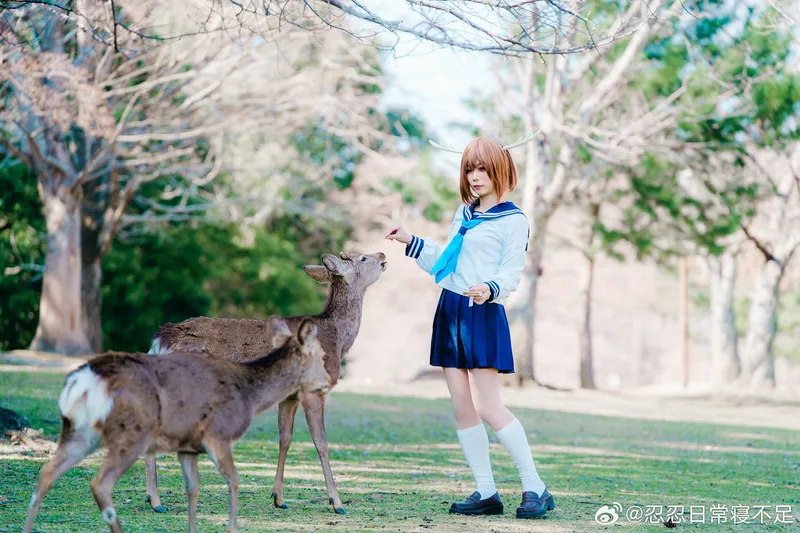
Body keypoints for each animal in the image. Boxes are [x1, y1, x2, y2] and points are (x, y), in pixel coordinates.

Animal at [23, 318, 329, 533]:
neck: (250, 393)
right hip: (129, 435)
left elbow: (193, 489)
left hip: (81, 432)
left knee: (47, 472)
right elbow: (233, 480)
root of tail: (81, 382)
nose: (328, 382)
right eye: (320, 355)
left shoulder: (189, 447)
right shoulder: (218, 437)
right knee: (100, 483)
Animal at [144, 251, 386, 515]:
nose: (382, 254)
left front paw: (278, 497)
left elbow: (285, 439)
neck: (337, 341)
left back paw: (153, 497)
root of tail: (160, 340)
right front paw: (337, 502)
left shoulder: (290, 396)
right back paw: (156, 501)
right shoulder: (312, 390)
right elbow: (321, 442)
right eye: (363, 258)